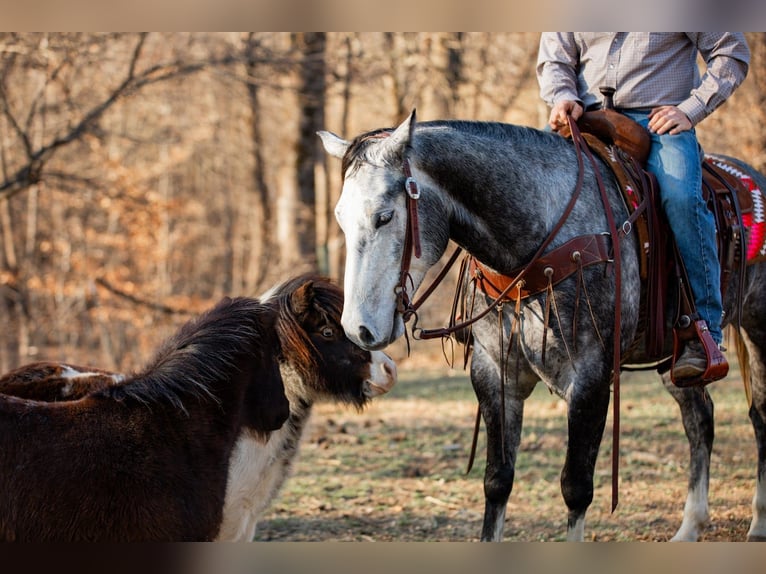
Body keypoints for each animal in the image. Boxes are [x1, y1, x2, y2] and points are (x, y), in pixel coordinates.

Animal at [319, 111, 766, 542]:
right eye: (339, 217)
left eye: (385, 216)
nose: (358, 329)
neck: (538, 243)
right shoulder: (495, 376)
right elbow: (497, 481)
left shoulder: (590, 379)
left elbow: (576, 488)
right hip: (672, 357)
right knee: (700, 418)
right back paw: (690, 527)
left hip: (757, 329)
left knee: (759, 414)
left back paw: (758, 523)